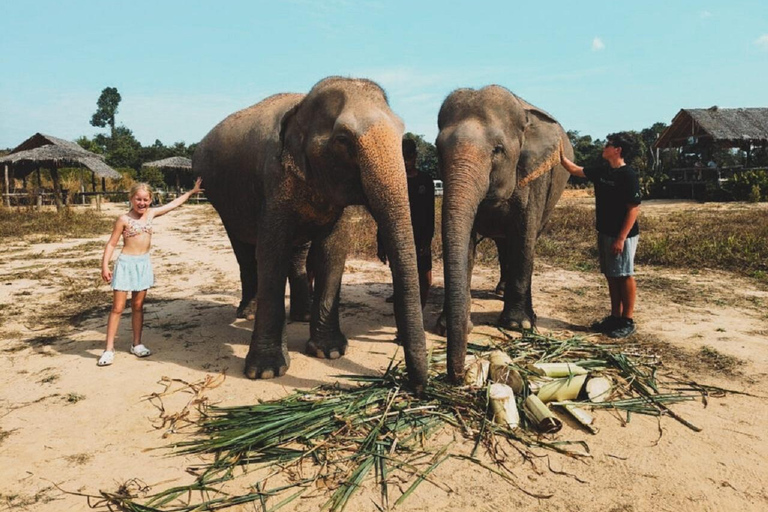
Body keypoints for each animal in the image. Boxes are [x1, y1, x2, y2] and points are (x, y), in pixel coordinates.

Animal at [192, 76, 428, 390]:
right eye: (343, 140)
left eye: (401, 133)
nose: (417, 386)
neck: (302, 106)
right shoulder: (273, 180)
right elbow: (271, 252)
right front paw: (265, 371)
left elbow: (333, 250)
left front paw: (330, 352)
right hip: (220, 199)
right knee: (244, 251)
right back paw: (248, 312)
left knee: (296, 252)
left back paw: (301, 316)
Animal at [436, 86, 572, 382]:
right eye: (438, 149)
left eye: (497, 150)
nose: (457, 376)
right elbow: (466, 245)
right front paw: (449, 325)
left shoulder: (535, 176)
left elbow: (524, 237)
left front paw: (517, 325)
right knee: (502, 246)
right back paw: (500, 289)